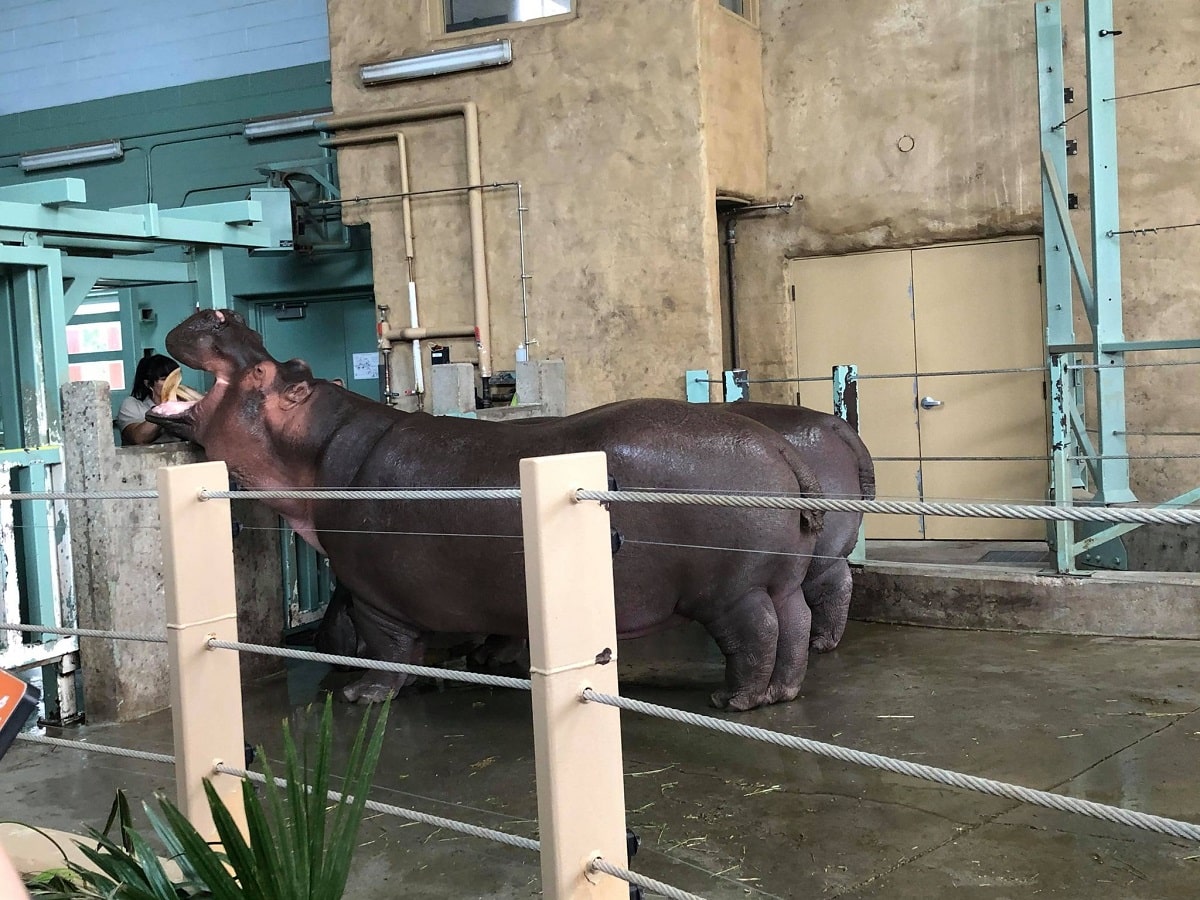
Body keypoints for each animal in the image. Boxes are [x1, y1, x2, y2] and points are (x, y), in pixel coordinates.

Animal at [149, 309, 826, 711]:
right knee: (794, 622)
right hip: (780, 576)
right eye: (296, 364)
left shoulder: (370, 588)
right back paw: (785, 693)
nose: (221, 313)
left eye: (266, 372)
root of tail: (781, 449)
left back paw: (736, 703)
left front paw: (364, 696)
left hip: (731, 589)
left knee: (756, 635)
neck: (315, 445)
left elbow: (388, 644)